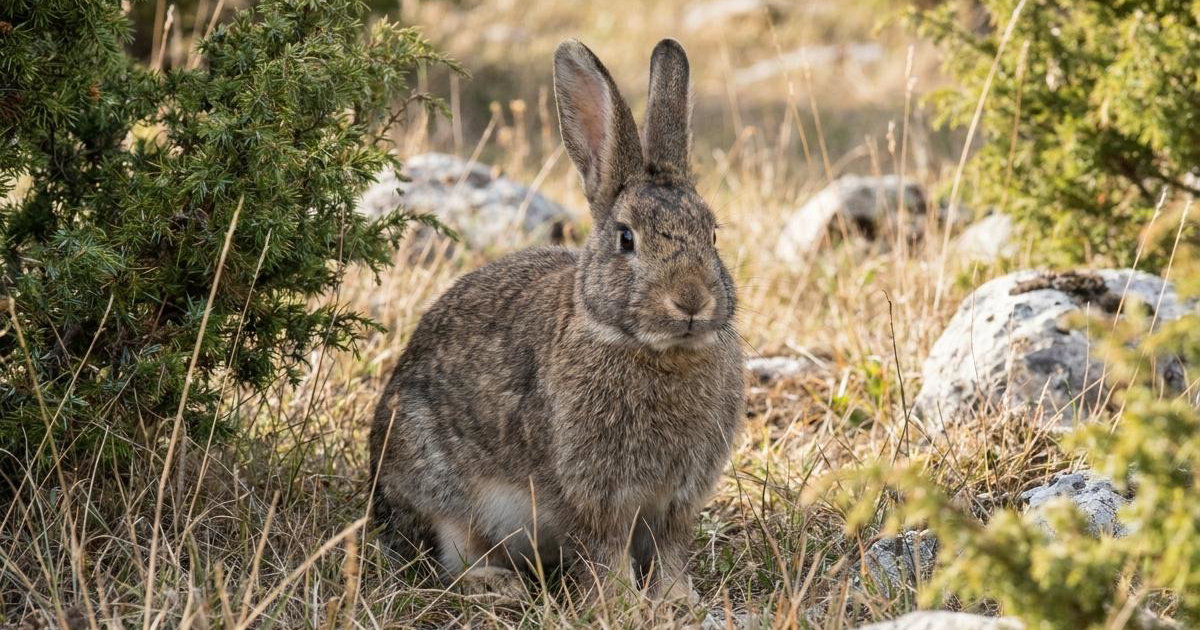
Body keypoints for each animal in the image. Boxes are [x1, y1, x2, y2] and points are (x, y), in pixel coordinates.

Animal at [368, 38, 744, 602]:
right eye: (626, 238)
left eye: (713, 235)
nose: (692, 300)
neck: (653, 349)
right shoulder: (594, 493)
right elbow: (607, 549)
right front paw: (621, 603)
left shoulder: (678, 500)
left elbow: (671, 551)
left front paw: (678, 600)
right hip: (433, 481)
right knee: (450, 557)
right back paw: (500, 585)